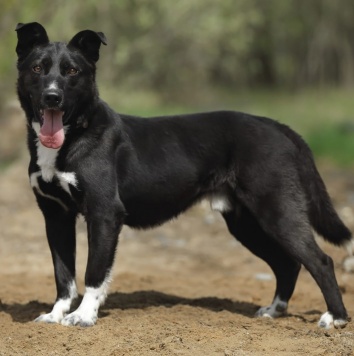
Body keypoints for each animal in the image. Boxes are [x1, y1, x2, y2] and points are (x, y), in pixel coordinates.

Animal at [15, 21, 352, 328]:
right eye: (37, 68)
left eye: (72, 71)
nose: (52, 97)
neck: (75, 135)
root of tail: (278, 126)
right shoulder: (55, 215)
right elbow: (63, 275)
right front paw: (55, 315)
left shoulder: (104, 213)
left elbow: (94, 272)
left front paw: (83, 316)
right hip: (246, 223)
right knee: (288, 264)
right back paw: (273, 311)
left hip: (276, 210)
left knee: (321, 261)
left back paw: (335, 318)